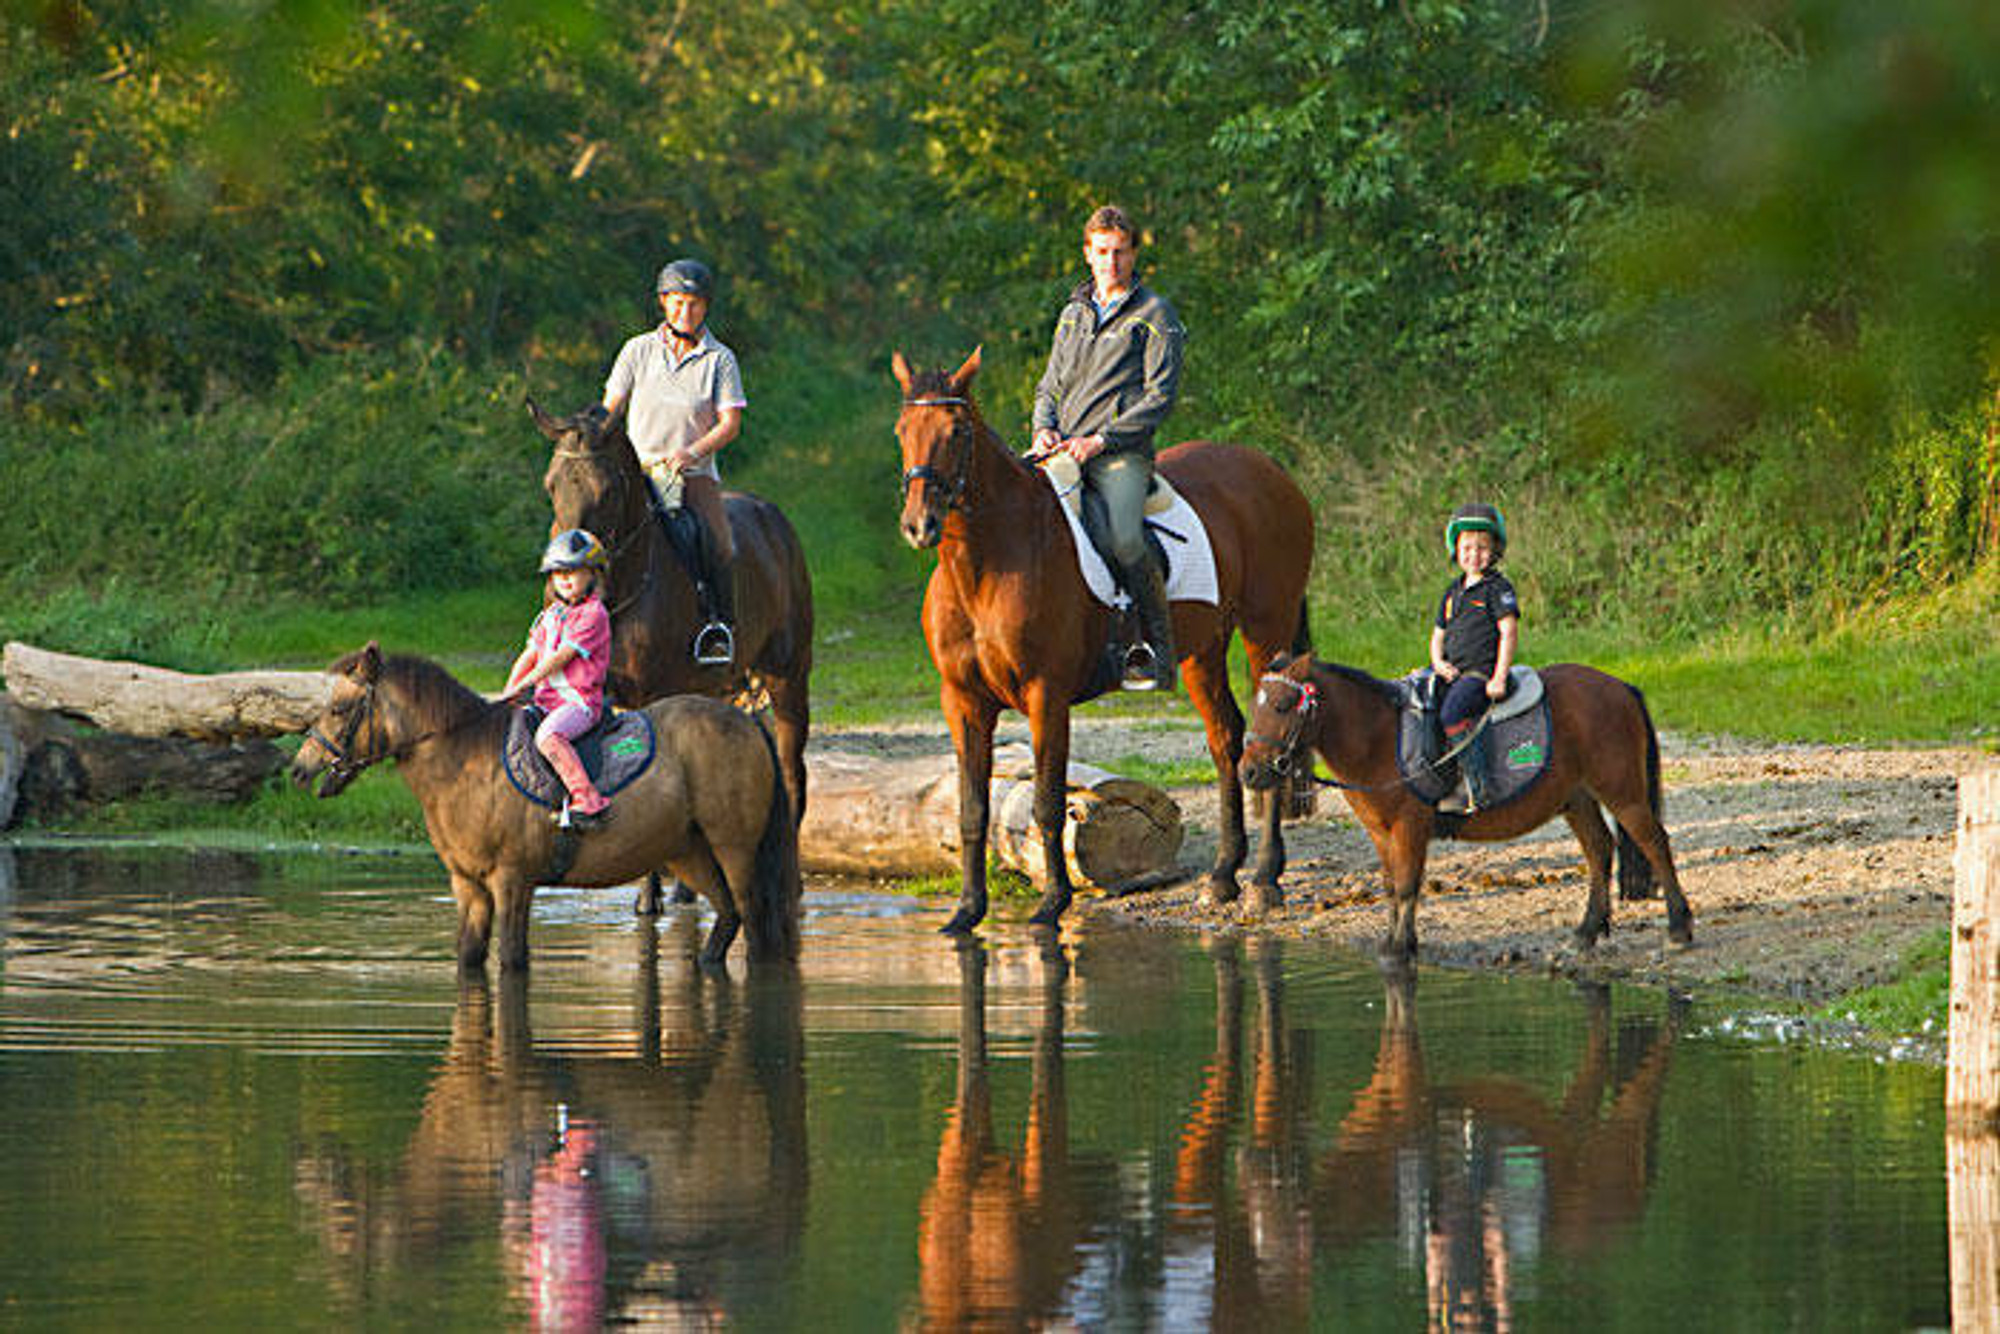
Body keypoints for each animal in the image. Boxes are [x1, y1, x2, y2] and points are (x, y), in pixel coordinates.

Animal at [292, 640, 804, 972]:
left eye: (339, 710)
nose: (299, 769)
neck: (463, 763)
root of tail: (746, 720)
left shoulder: (512, 881)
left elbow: (512, 961)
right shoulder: (469, 886)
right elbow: (470, 957)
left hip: (734, 847)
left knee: (752, 918)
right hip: (688, 851)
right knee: (728, 917)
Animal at [532, 396, 820, 840]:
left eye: (608, 490)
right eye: (551, 485)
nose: (563, 571)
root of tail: (774, 518)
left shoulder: (654, 695)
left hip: (788, 677)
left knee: (791, 774)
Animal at [900, 344, 1320, 936]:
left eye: (957, 432)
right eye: (902, 430)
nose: (920, 525)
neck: (987, 563)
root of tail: (1271, 470)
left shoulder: (1045, 696)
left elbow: (1048, 804)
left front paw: (1052, 904)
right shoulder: (962, 702)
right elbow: (972, 809)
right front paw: (967, 911)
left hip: (1268, 629)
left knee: (1272, 742)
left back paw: (1264, 881)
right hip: (1202, 650)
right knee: (1226, 739)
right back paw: (1222, 877)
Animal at [1240, 656, 1696, 960]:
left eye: (1281, 706)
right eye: (1254, 706)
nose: (1248, 771)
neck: (1379, 736)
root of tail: (1621, 687)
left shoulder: (1410, 827)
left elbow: (1407, 885)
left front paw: (1400, 947)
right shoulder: (1381, 832)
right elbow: (1391, 885)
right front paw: (1395, 940)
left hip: (1622, 792)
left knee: (1654, 842)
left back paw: (1679, 926)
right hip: (1577, 797)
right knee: (1600, 850)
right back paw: (1587, 930)